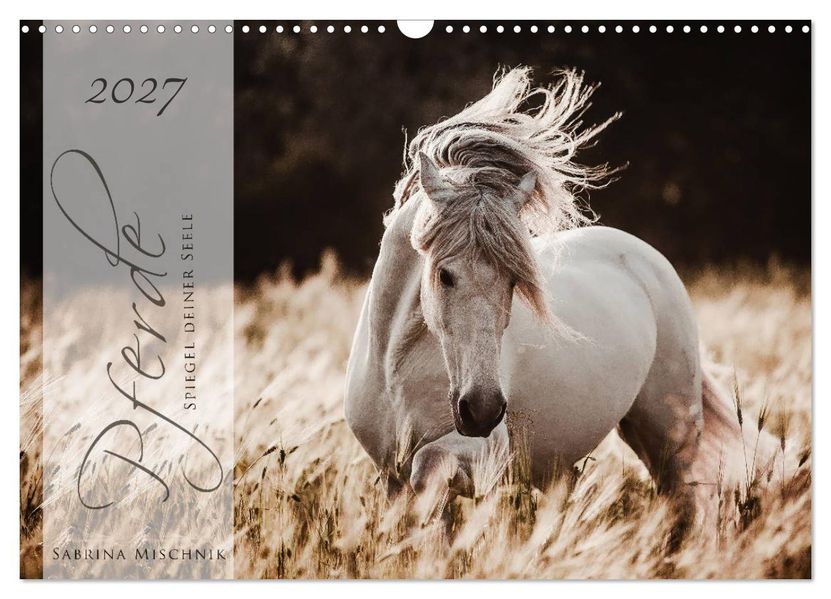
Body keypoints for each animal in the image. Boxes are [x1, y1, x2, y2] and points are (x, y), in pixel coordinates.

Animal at [344, 67, 774, 522]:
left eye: (514, 282)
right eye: (444, 275)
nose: (482, 409)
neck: (395, 364)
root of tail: (646, 257)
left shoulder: (483, 451)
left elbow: (426, 469)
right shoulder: (389, 476)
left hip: (672, 432)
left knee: (689, 499)